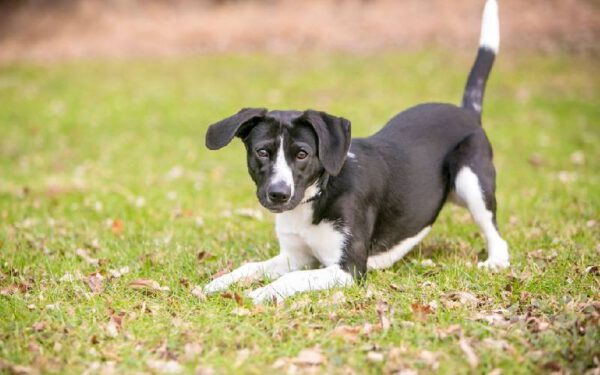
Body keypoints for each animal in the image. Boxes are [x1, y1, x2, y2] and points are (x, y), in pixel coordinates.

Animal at [204, 0, 508, 304]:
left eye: (302, 154)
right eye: (262, 152)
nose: (278, 194)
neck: (318, 195)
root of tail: (466, 112)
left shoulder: (348, 268)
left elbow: (293, 279)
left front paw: (261, 293)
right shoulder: (295, 257)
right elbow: (250, 266)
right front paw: (218, 283)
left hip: (471, 182)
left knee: (495, 233)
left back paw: (495, 261)